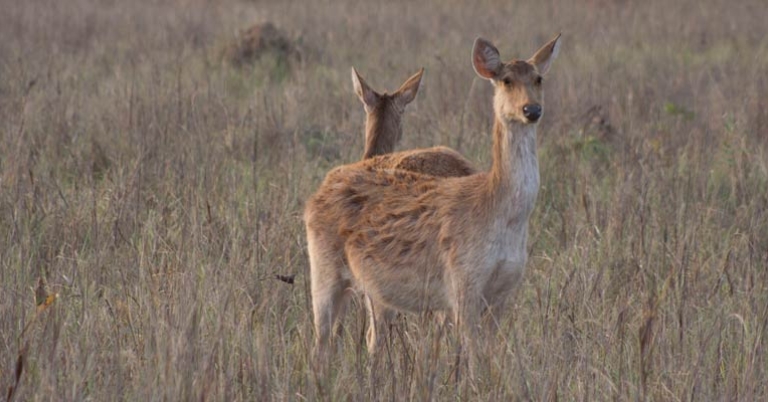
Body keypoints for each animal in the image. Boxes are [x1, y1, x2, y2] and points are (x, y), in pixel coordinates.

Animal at [305, 34, 561, 362]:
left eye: (539, 78)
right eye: (506, 80)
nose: (532, 110)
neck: (501, 215)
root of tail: (318, 193)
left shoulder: (504, 292)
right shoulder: (462, 283)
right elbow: (474, 360)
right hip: (323, 270)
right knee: (322, 342)